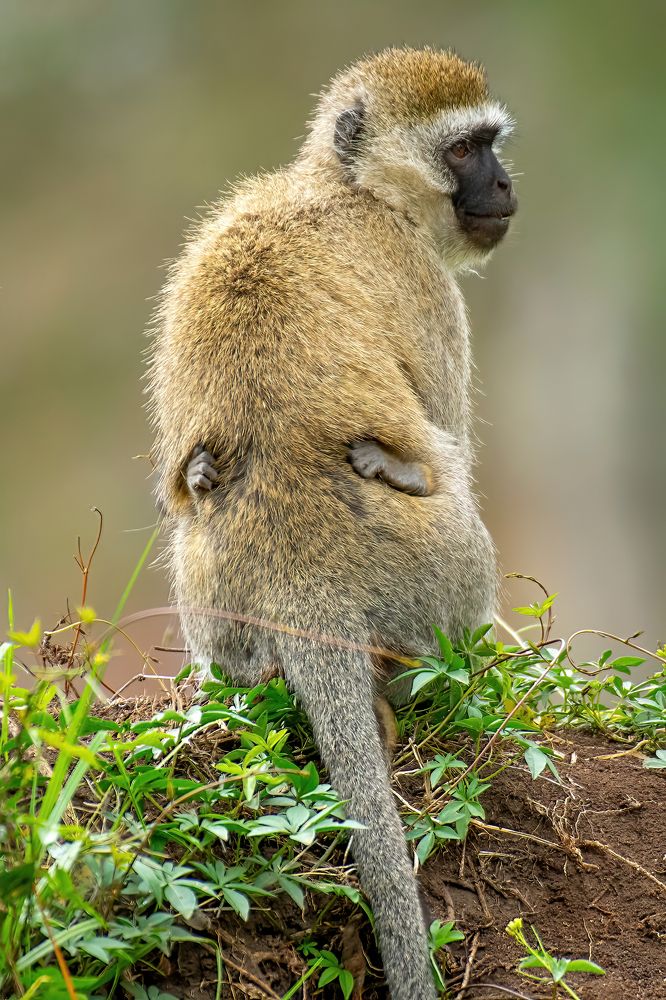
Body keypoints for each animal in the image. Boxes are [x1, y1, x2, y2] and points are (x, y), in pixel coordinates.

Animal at [147, 47, 517, 1000]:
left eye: (490, 145)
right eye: (465, 149)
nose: (506, 182)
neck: (349, 190)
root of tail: (303, 587)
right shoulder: (423, 280)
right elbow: (449, 433)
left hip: (216, 600)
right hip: (434, 574)